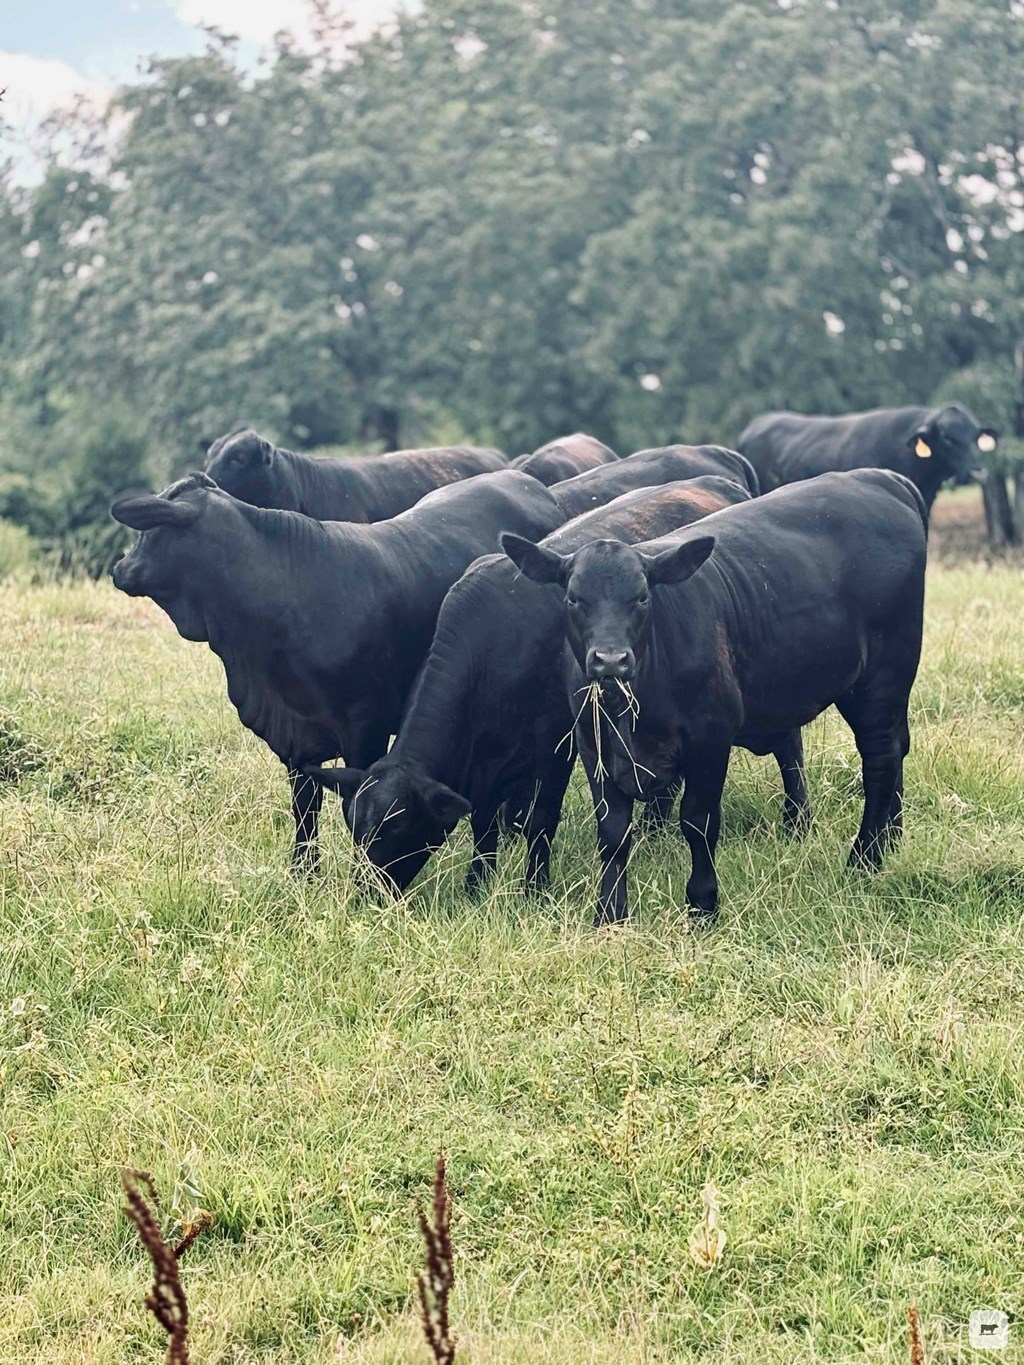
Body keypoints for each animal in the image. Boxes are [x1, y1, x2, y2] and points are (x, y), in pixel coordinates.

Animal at [110, 469, 562, 862]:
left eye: (151, 529)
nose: (119, 569)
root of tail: (527, 482)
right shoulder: (295, 738)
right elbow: (304, 808)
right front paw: (303, 871)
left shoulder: (364, 728)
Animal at [303, 477, 753, 895]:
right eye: (354, 826)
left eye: (396, 827)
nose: (365, 893)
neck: (496, 645)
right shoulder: (484, 763)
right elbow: (484, 822)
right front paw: (477, 885)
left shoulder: (556, 745)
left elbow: (542, 818)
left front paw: (535, 886)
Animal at [505, 469, 928, 928]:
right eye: (573, 598)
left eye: (642, 597)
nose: (610, 659)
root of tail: (877, 477)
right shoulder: (592, 742)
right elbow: (613, 832)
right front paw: (610, 913)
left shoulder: (710, 737)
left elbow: (698, 821)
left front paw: (703, 904)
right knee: (892, 751)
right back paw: (892, 838)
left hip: (882, 678)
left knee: (881, 759)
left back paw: (865, 858)